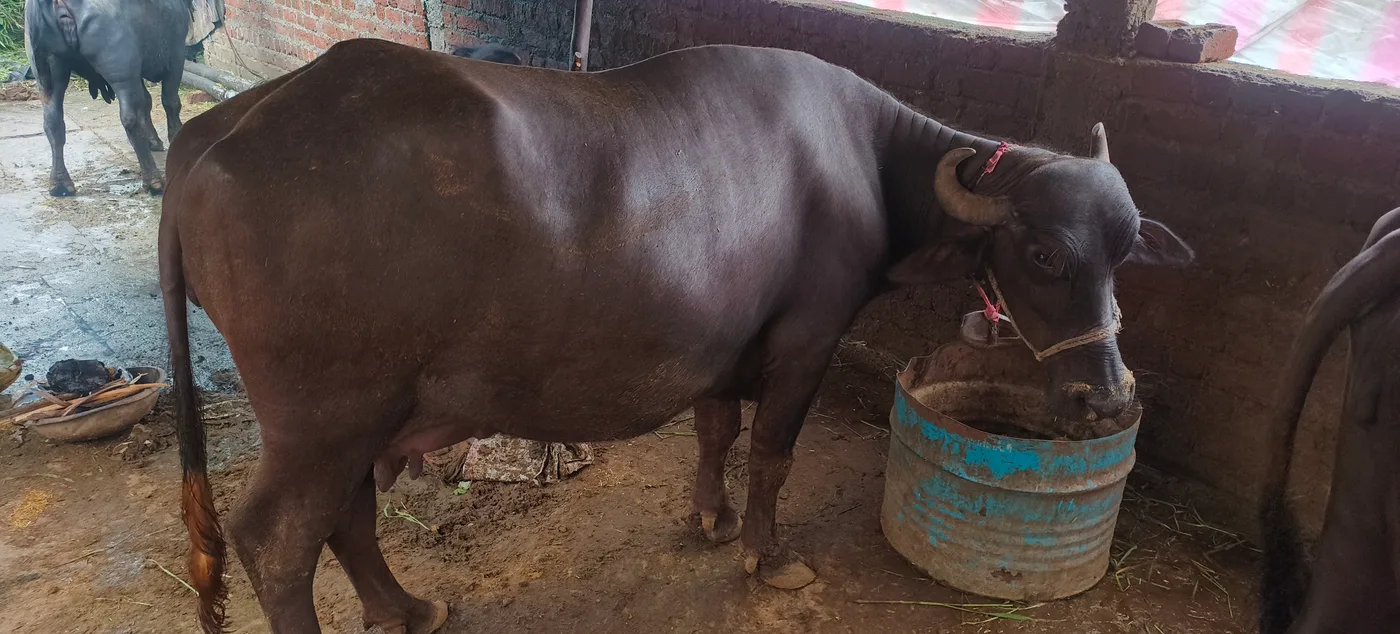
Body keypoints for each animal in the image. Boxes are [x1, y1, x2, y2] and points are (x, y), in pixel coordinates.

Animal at [160, 39, 1192, 633]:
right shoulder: (807, 338)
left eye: (1125, 249)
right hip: (325, 418)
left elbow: (716, 431)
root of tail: (210, 140)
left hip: (362, 419)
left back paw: (408, 609)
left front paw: (710, 517)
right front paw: (767, 553)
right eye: (1043, 250)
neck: (861, 158)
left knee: (347, 518)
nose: (1107, 397)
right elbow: (773, 450)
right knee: (279, 541)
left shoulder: (723, 343)